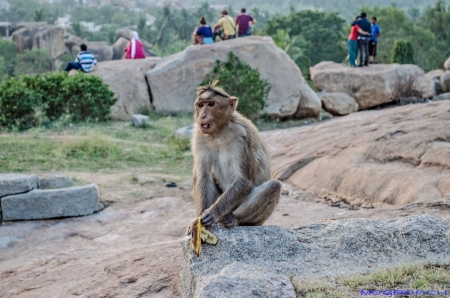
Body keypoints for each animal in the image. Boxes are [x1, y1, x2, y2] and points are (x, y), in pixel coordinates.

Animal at [188, 79, 280, 230]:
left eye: (211, 104)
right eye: (200, 105)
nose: (202, 116)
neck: (220, 132)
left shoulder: (241, 137)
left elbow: (243, 181)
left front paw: (213, 213)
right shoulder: (199, 136)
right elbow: (203, 175)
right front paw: (199, 219)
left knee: (274, 186)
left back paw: (234, 219)